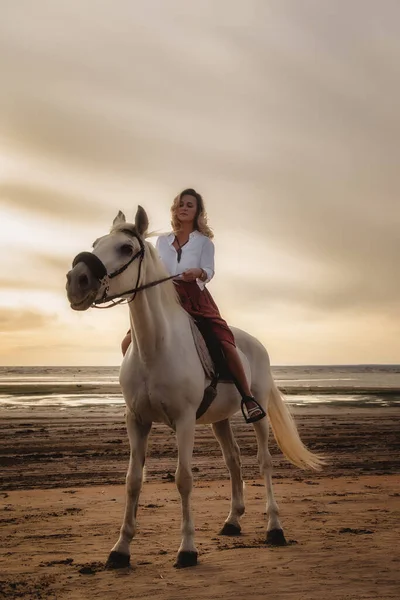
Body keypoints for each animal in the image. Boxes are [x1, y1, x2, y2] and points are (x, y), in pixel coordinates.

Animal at [65, 209, 322, 568]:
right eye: (96, 243)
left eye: (126, 248)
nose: (77, 281)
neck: (155, 347)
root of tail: (255, 343)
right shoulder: (137, 421)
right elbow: (133, 481)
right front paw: (121, 549)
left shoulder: (184, 421)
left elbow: (184, 479)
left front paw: (187, 549)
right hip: (219, 420)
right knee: (233, 460)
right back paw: (232, 521)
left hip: (257, 413)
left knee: (264, 461)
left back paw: (274, 528)